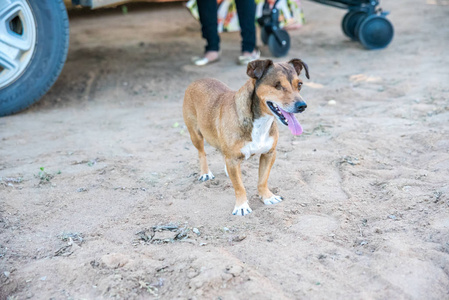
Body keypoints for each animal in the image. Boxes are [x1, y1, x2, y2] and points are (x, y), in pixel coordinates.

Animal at [182, 58, 308, 214]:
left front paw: (267, 196)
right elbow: (239, 187)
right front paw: (241, 206)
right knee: (201, 153)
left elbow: (263, 180)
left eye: (300, 84)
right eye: (278, 86)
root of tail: (198, 80)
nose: (302, 106)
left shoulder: (269, 154)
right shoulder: (233, 159)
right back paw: (205, 173)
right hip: (195, 134)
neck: (260, 122)